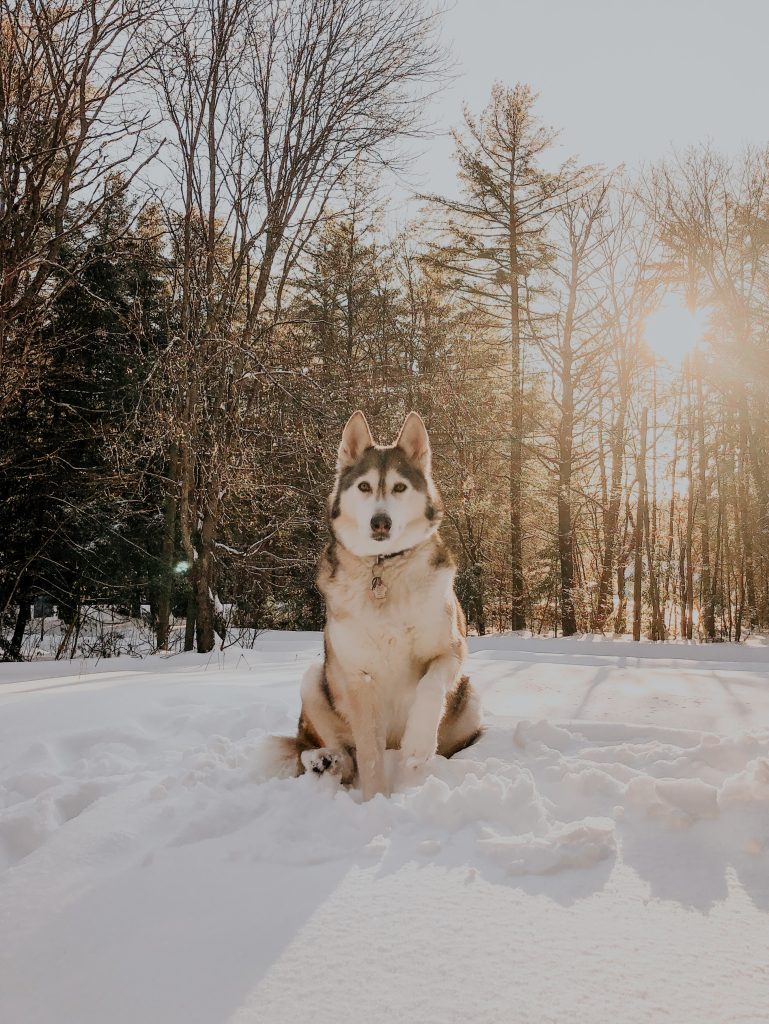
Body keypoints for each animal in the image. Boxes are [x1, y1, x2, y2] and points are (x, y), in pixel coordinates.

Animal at [274, 407, 481, 798]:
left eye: (399, 487)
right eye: (364, 487)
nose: (380, 522)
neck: (383, 568)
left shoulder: (451, 649)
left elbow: (430, 686)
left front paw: (418, 745)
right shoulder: (359, 677)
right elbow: (369, 754)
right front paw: (376, 801)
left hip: (470, 695)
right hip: (316, 678)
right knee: (338, 751)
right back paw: (324, 760)